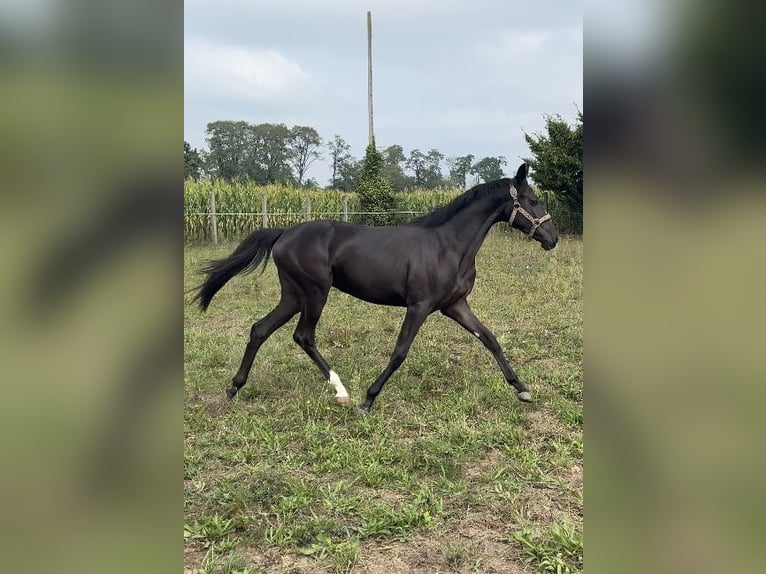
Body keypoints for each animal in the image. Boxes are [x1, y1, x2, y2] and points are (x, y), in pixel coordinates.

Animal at [194, 163, 558, 413]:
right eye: (533, 200)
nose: (552, 238)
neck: (449, 246)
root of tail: (284, 233)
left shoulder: (455, 305)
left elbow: (491, 340)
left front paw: (522, 389)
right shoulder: (419, 306)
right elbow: (399, 352)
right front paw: (368, 401)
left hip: (294, 295)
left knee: (260, 329)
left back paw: (234, 388)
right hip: (314, 293)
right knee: (303, 336)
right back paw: (342, 392)